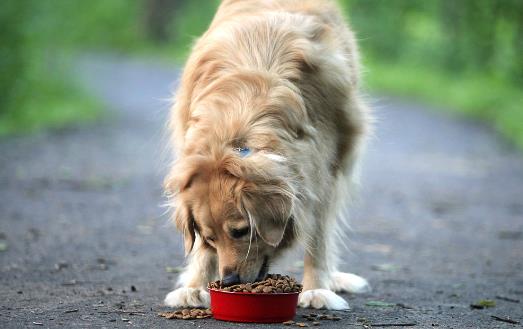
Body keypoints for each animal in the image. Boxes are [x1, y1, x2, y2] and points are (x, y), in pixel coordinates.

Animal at [164, 0, 372, 310]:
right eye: (210, 237)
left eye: (241, 231)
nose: (228, 281)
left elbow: (318, 234)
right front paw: (194, 287)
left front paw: (316, 289)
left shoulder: (320, 171)